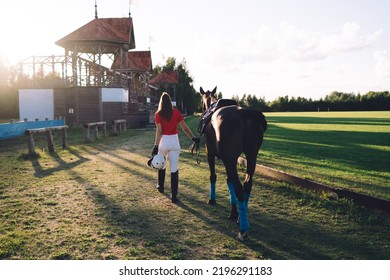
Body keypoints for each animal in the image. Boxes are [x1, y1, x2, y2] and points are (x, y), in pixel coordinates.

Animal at [200, 86, 266, 241]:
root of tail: (245, 114)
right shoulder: (231, 159)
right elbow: (229, 181)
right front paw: (234, 212)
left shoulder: (210, 153)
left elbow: (213, 176)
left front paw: (212, 199)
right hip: (251, 156)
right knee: (247, 185)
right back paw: (242, 218)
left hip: (229, 158)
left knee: (239, 188)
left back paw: (243, 230)